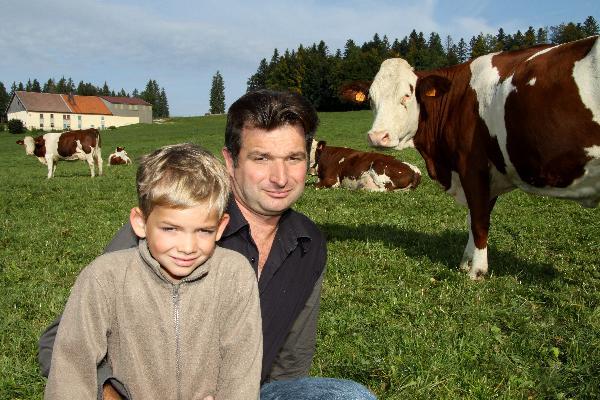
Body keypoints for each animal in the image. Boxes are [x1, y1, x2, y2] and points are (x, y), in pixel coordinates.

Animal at [342, 36, 600, 280]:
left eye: (406, 95)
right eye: (371, 99)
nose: (377, 137)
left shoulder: (472, 166)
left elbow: (479, 220)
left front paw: (477, 271)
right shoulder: (488, 174)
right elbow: (473, 218)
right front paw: (466, 262)